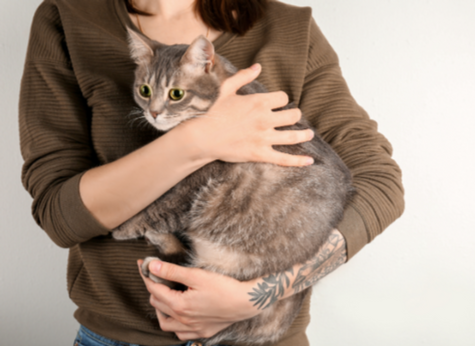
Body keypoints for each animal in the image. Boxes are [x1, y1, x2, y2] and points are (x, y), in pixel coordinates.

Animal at [112, 28, 354, 346]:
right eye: (145, 90)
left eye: (176, 94)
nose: (152, 113)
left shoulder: (195, 184)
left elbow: (158, 208)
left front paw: (122, 228)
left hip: (230, 270)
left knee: (183, 277)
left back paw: (155, 263)